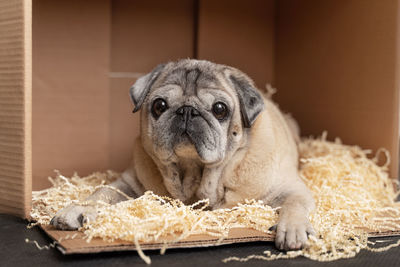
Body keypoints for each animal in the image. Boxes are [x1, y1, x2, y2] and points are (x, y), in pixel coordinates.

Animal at [50, 58, 314, 251]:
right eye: (159, 106)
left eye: (220, 109)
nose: (187, 111)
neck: (194, 175)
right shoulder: (128, 184)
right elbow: (101, 193)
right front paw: (76, 209)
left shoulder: (290, 189)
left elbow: (295, 204)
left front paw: (293, 228)